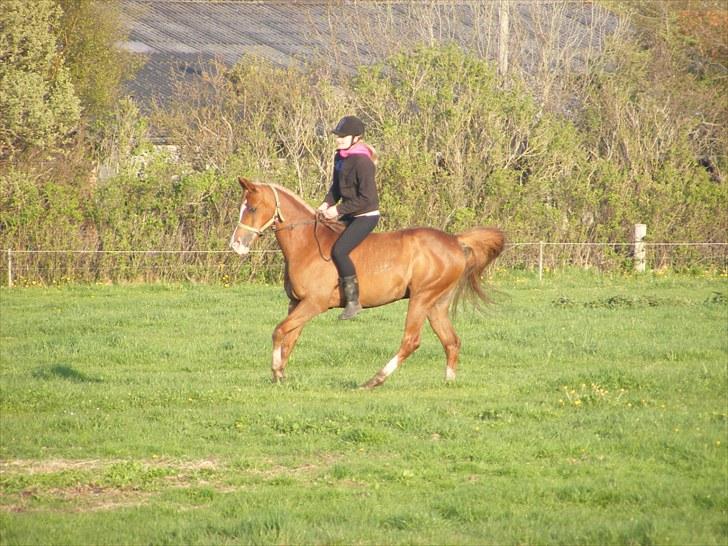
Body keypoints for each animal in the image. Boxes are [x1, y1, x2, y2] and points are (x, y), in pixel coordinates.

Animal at [230, 177, 504, 386]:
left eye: (252, 208)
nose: (236, 245)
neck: (306, 244)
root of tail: (455, 240)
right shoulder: (297, 303)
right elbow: (289, 337)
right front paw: (281, 375)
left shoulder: (313, 304)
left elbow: (279, 331)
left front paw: (276, 372)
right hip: (436, 304)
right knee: (451, 341)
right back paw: (448, 382)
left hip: (421, 298)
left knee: (411, 341)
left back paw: (374, 380)